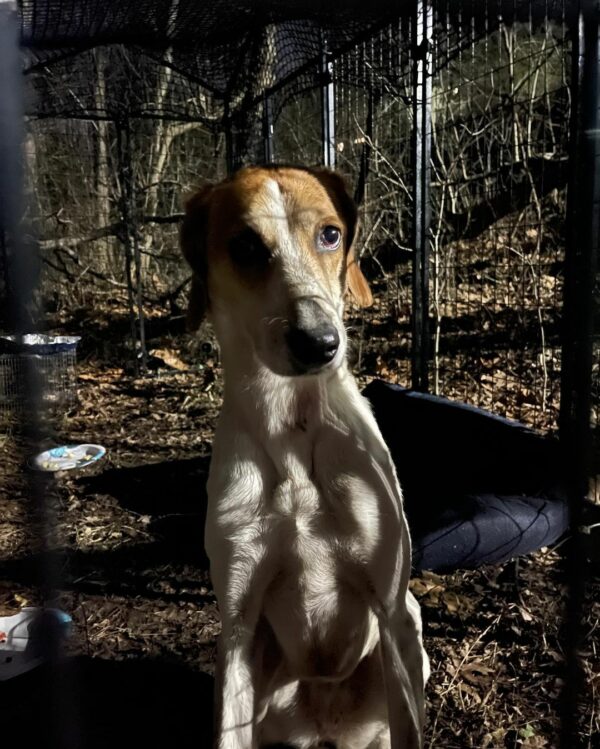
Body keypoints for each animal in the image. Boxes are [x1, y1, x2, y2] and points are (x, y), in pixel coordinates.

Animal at [180, 165, 428, 748]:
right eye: (246, 246)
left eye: (330, 234)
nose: (319, 342)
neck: (291, 429)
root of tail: (327, 724)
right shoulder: (238, 624)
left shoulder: (391, 610)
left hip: (412, 628)